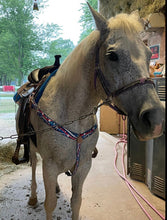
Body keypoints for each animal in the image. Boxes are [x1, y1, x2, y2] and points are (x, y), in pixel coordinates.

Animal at [15, 3, 164, 220]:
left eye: (148, 54)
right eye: (112, 55)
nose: (155, 119)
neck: (72, 115)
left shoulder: (83, 167)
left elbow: (76, 202)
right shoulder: (49, 166)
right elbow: (49, 204)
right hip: (32, 147)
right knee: (34, 165)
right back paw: (33, 196)